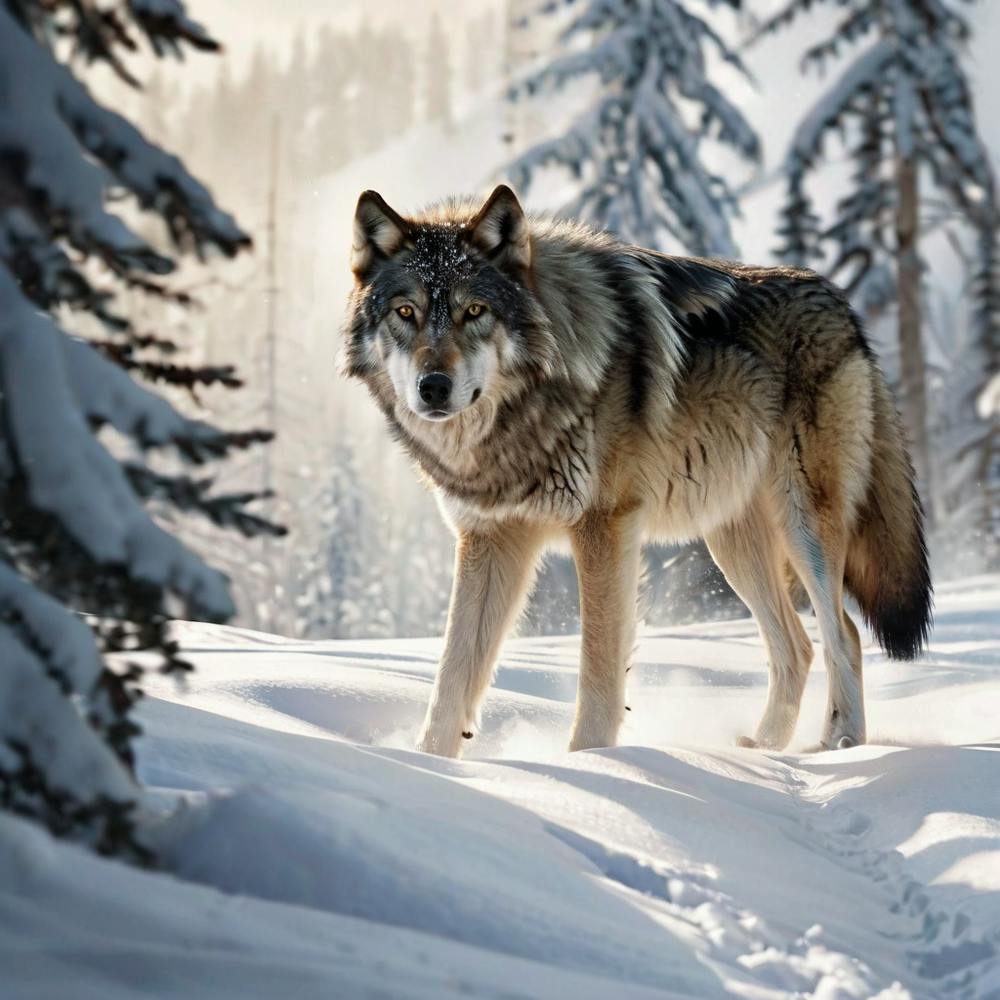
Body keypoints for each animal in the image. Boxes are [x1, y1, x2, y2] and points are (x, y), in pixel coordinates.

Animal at [342, 184, 932, 758]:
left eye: (475, 310)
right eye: (406, 313)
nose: (433, 388)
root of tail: (840, 302)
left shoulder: (604, 525)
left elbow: (599, 669)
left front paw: (591, 763)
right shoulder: (488, 537)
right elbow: (451, 676)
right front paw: (430, 762)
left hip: (801, 525)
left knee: (844, 634)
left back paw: (842, 742)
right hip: (732, 545)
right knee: (797, 646)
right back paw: (763, 749)